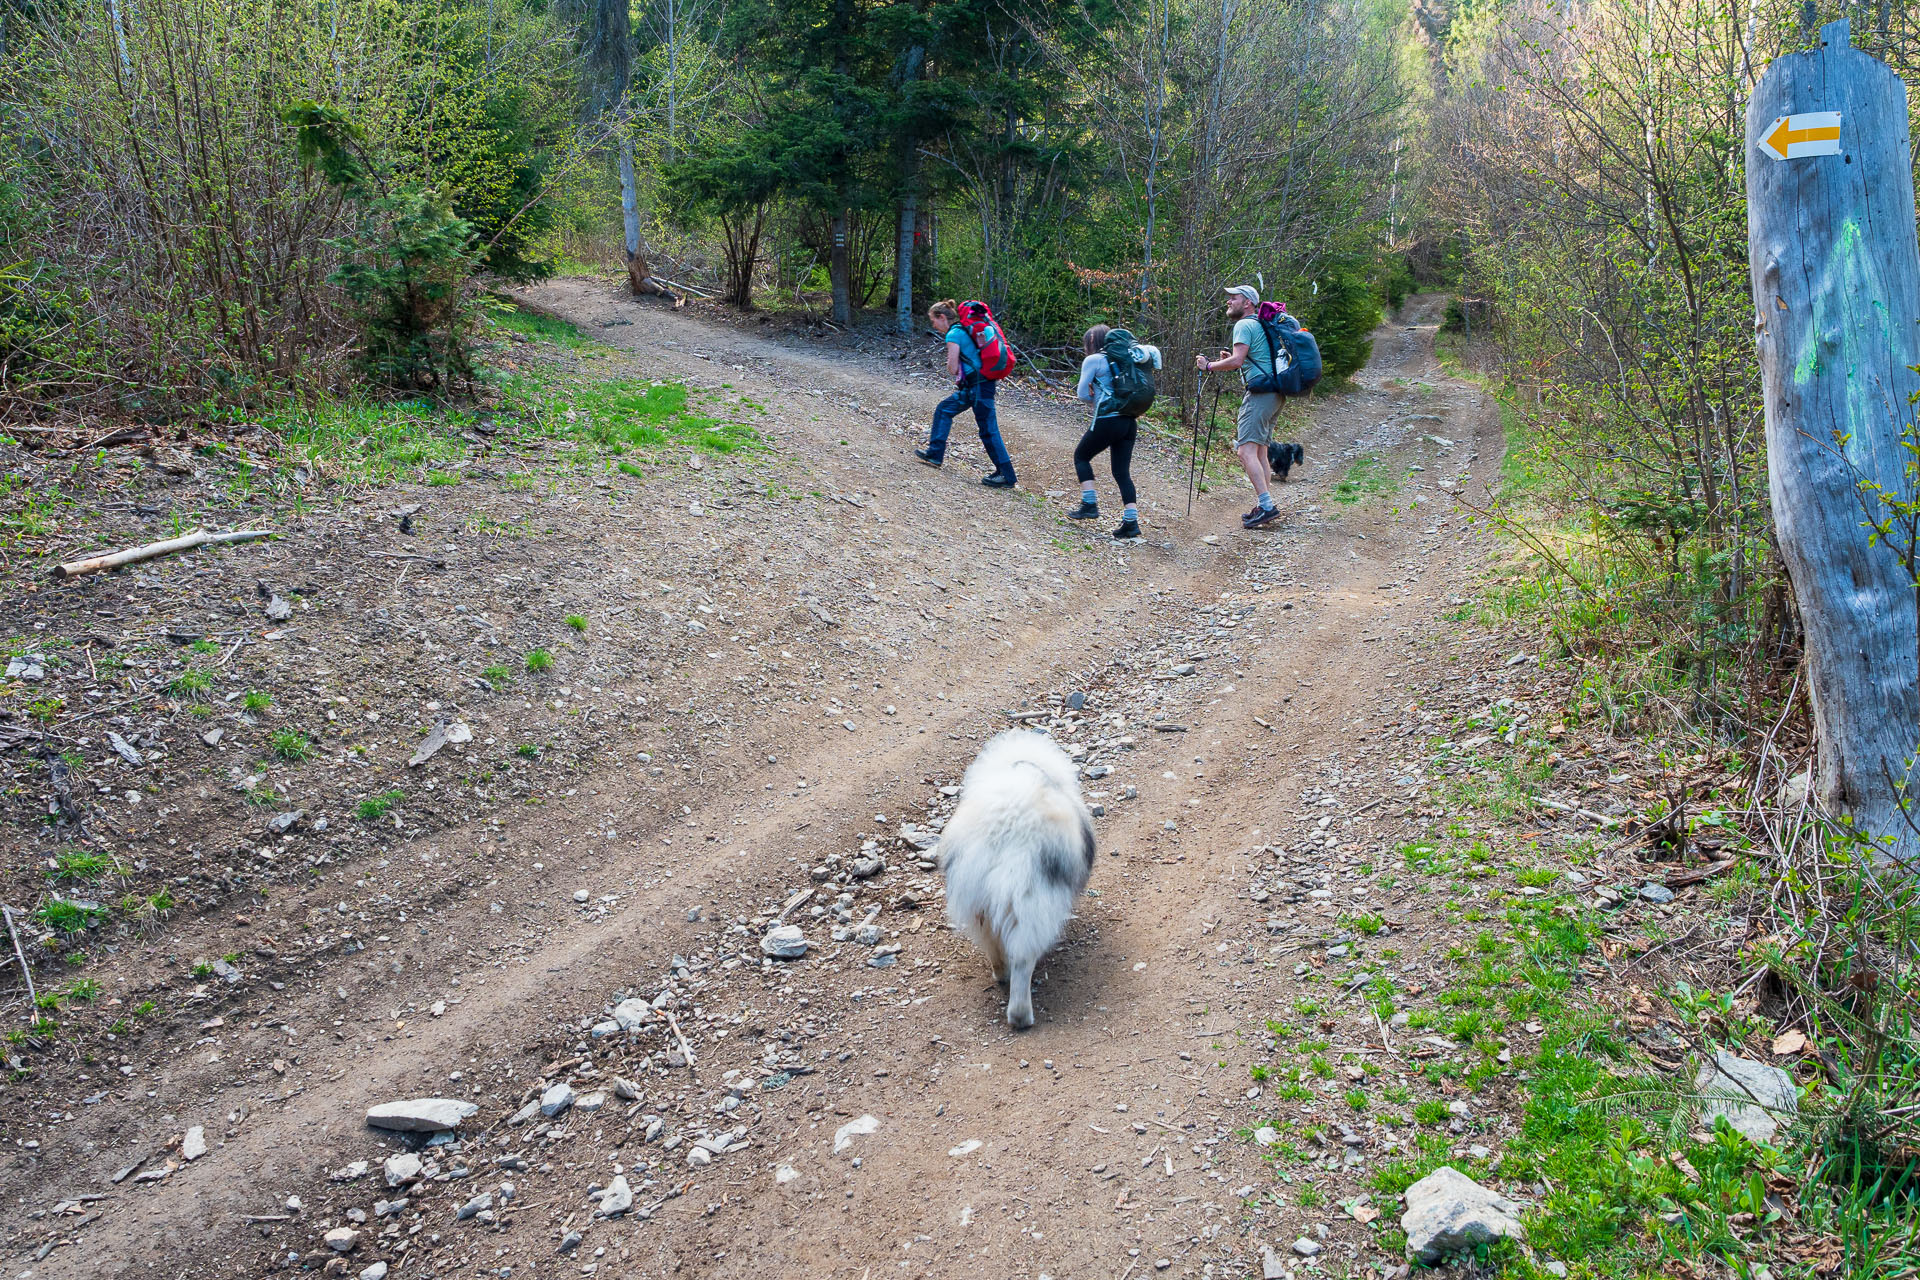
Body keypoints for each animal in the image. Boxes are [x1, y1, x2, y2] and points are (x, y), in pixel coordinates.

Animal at [940, 729, 1098, 1028]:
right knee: (1024, 958)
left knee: (992, 942)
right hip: (1030, 899)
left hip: (978, 902)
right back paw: (1021, 1016)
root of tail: (1006, 833)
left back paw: (1001, 976)